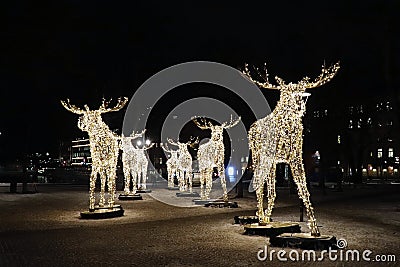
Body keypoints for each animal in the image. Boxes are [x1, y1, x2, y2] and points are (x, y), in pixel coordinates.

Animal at [242, 62, 340, 237]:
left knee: (270, 190)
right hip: (258, 156)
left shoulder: (296, 155)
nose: (300, 107)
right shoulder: (291, 157)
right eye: (287, 93)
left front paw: (315, 229)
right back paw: (260, 219)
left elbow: (304, 188)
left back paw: (265, 218)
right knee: (259, 184)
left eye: (301, 91)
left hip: (271, 161)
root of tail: (251, 128)